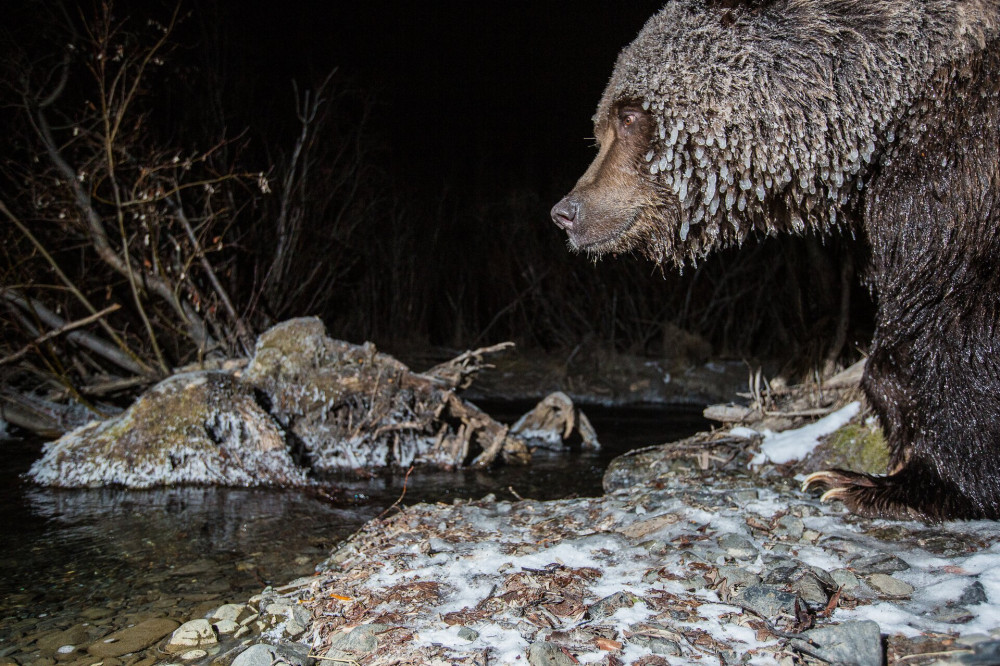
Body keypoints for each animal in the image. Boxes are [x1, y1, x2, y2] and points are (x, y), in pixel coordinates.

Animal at [552, 0, 1000, 520]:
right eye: (601, 124)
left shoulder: (957, 160)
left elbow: (948, 312)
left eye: (627, 116)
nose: (566, 211)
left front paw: (886, 481)